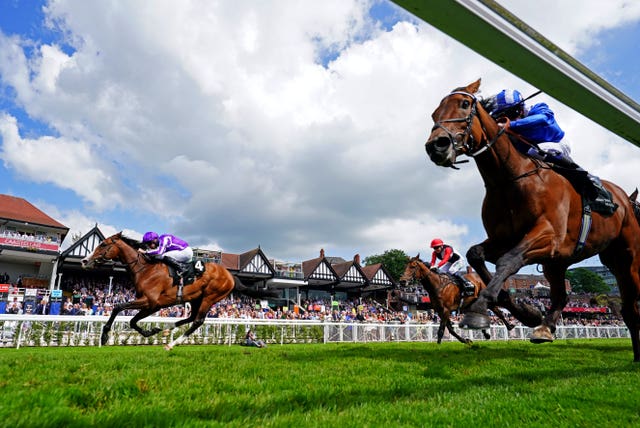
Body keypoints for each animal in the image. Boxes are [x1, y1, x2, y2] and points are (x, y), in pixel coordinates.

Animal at [82, 232, 278, 350]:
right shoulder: (152, 305)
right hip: (196, 298)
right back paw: (167, 330)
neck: (145, 269)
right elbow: (132, 320)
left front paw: (104, 336)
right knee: (191, 318)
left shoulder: (151, 302)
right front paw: (152, 331)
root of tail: (230, 275)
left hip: (210, 297)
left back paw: (172, 344)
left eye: (103, 244)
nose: (84, 261)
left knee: (198, 321)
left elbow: (119, 309)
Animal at [424, 79, 640, 362]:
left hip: (626, 258)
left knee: (631, 306)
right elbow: (476, 254)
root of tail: (626, 199)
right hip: (561, 264)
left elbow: (508, 261)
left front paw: (479, 309)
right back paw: (545, 327)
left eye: (465, 103)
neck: (509, 179)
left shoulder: (549, 237)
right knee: (562, 297)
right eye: (434, 114)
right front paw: (527, 313)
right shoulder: (503, 239)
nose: (436, 145)